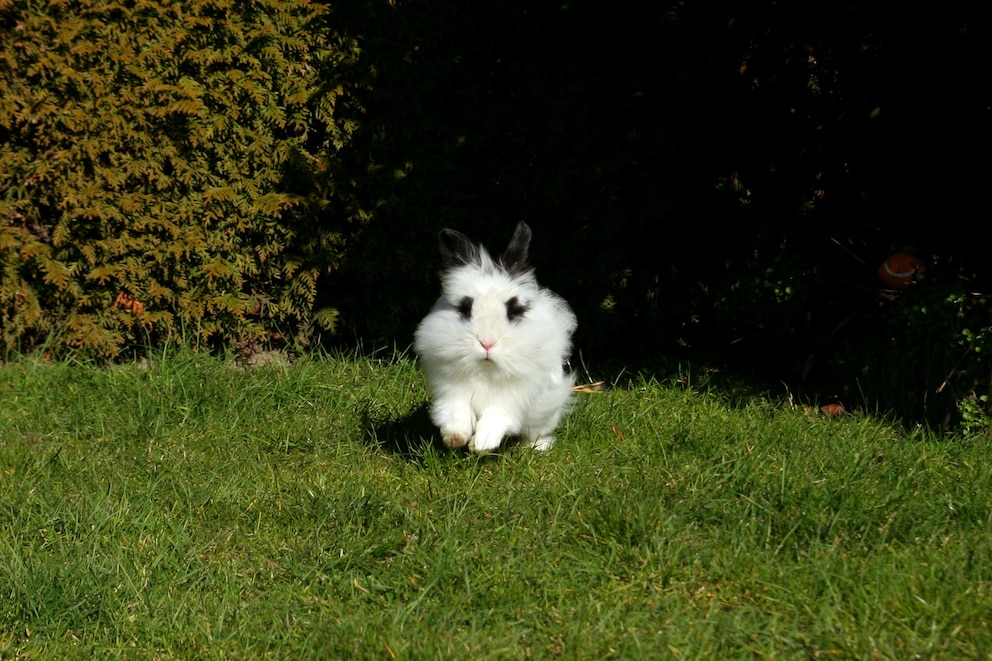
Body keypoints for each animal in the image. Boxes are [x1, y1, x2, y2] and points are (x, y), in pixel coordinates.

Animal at [412, 222, 576, 454]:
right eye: (465, 308)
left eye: (514, 310)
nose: (487, 343)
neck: (485, 369)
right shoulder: (452, 391)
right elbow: (456, 413)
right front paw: (455, 438)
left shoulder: (513, 399)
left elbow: (496, 417)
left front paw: (482, 444)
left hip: (546, 411)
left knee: (536, 432)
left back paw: (537, 447)